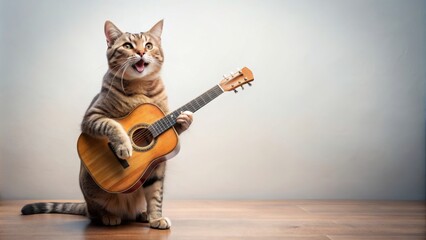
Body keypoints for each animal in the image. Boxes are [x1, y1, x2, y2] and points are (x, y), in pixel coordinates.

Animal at [21, 19, 191, 230]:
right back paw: (108, 216)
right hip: (90, 187)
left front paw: (184, 120)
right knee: (94, 212)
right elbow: (112, 125)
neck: (141, 87)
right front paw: (124, 146)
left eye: (149, 45)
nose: (141, 52)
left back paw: (148, 216)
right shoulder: (92, 116)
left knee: (152, 194)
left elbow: (157, 196)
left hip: (156, 171)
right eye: (128, 46)